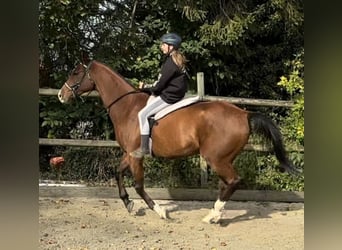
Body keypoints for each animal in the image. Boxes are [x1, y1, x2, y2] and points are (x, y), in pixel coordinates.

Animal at [57, 60, 298, 223]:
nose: (61, 95)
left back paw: (212, 215)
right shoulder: (129, 154)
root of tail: (244, 114)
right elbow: (118, 173)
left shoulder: (136, 157)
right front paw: (128, 203)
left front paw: (161, 211)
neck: (127, 107)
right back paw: (215, 214)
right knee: (227, 183)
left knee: (233, 181)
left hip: (216, 159)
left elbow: (139, 185)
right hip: (223, 159)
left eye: (75, 72)